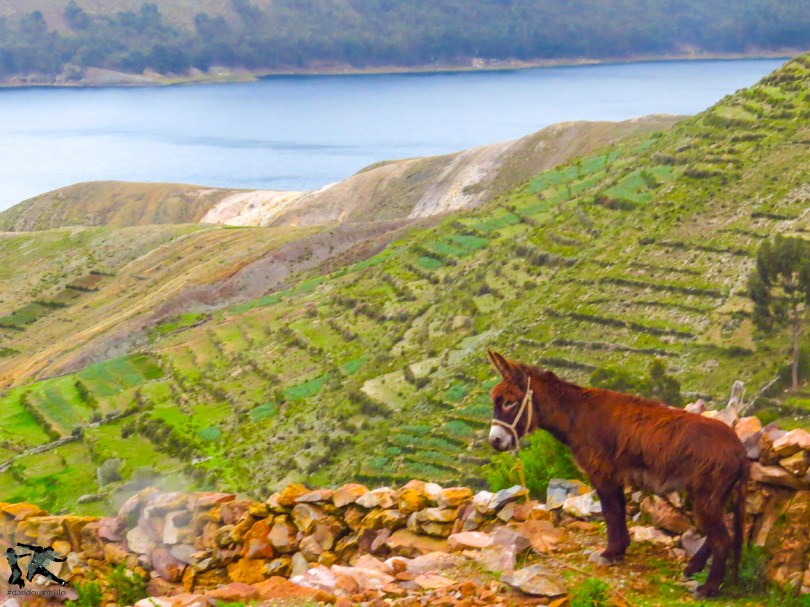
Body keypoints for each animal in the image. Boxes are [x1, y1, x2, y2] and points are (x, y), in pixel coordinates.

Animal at [486, 350, 749, 597]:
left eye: (509, 402)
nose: (494, 441)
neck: (576, 415)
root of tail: (739, 448)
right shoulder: (615, 475)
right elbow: (619, 511)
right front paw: (620, 550)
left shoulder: (602, 473)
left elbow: (611, 513)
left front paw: (610, 553)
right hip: (716, 497)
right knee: (720, 533)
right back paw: (693, 567)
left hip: (705, 496)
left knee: (722, 538)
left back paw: (708, 588)